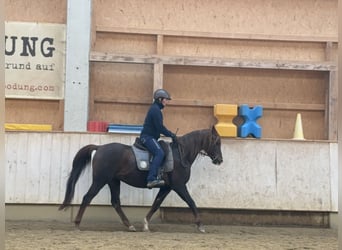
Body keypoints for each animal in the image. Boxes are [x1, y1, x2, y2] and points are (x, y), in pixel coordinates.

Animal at [58, 126, 223, 233]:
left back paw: (129, 225)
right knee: (87, 197)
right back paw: (77, 224)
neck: (180, 154)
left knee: (115, 202)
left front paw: (145, 224)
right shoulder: (179, 186)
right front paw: (200, 225)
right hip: (100, 180)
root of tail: (99, 148)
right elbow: (191, 202)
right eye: (217, 142)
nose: (219, 160)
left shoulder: (166, 187)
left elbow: (156, 204)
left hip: (113, 181)